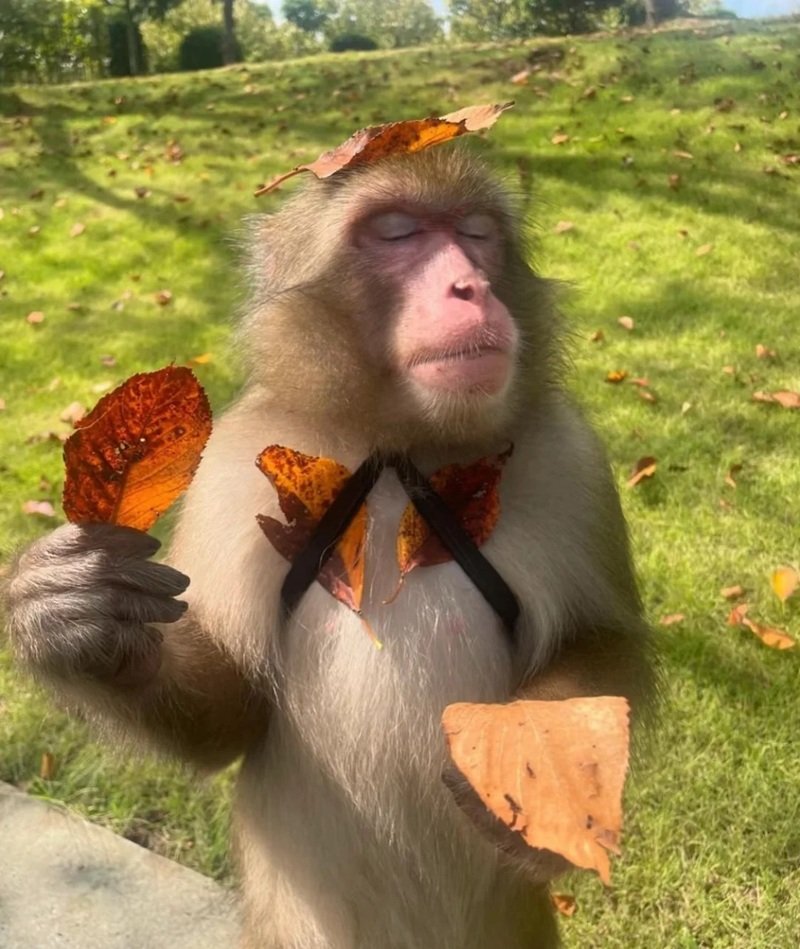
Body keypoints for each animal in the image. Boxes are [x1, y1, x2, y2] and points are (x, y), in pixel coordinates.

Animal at [4, 145, 653, 949]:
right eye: (398, 232)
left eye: (476, 233)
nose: (468, 284)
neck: (399, 447)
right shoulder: (233, 462)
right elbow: (236, 706)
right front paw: (80, 618)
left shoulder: (570, 457)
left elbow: (605, 646)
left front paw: (539, 753)